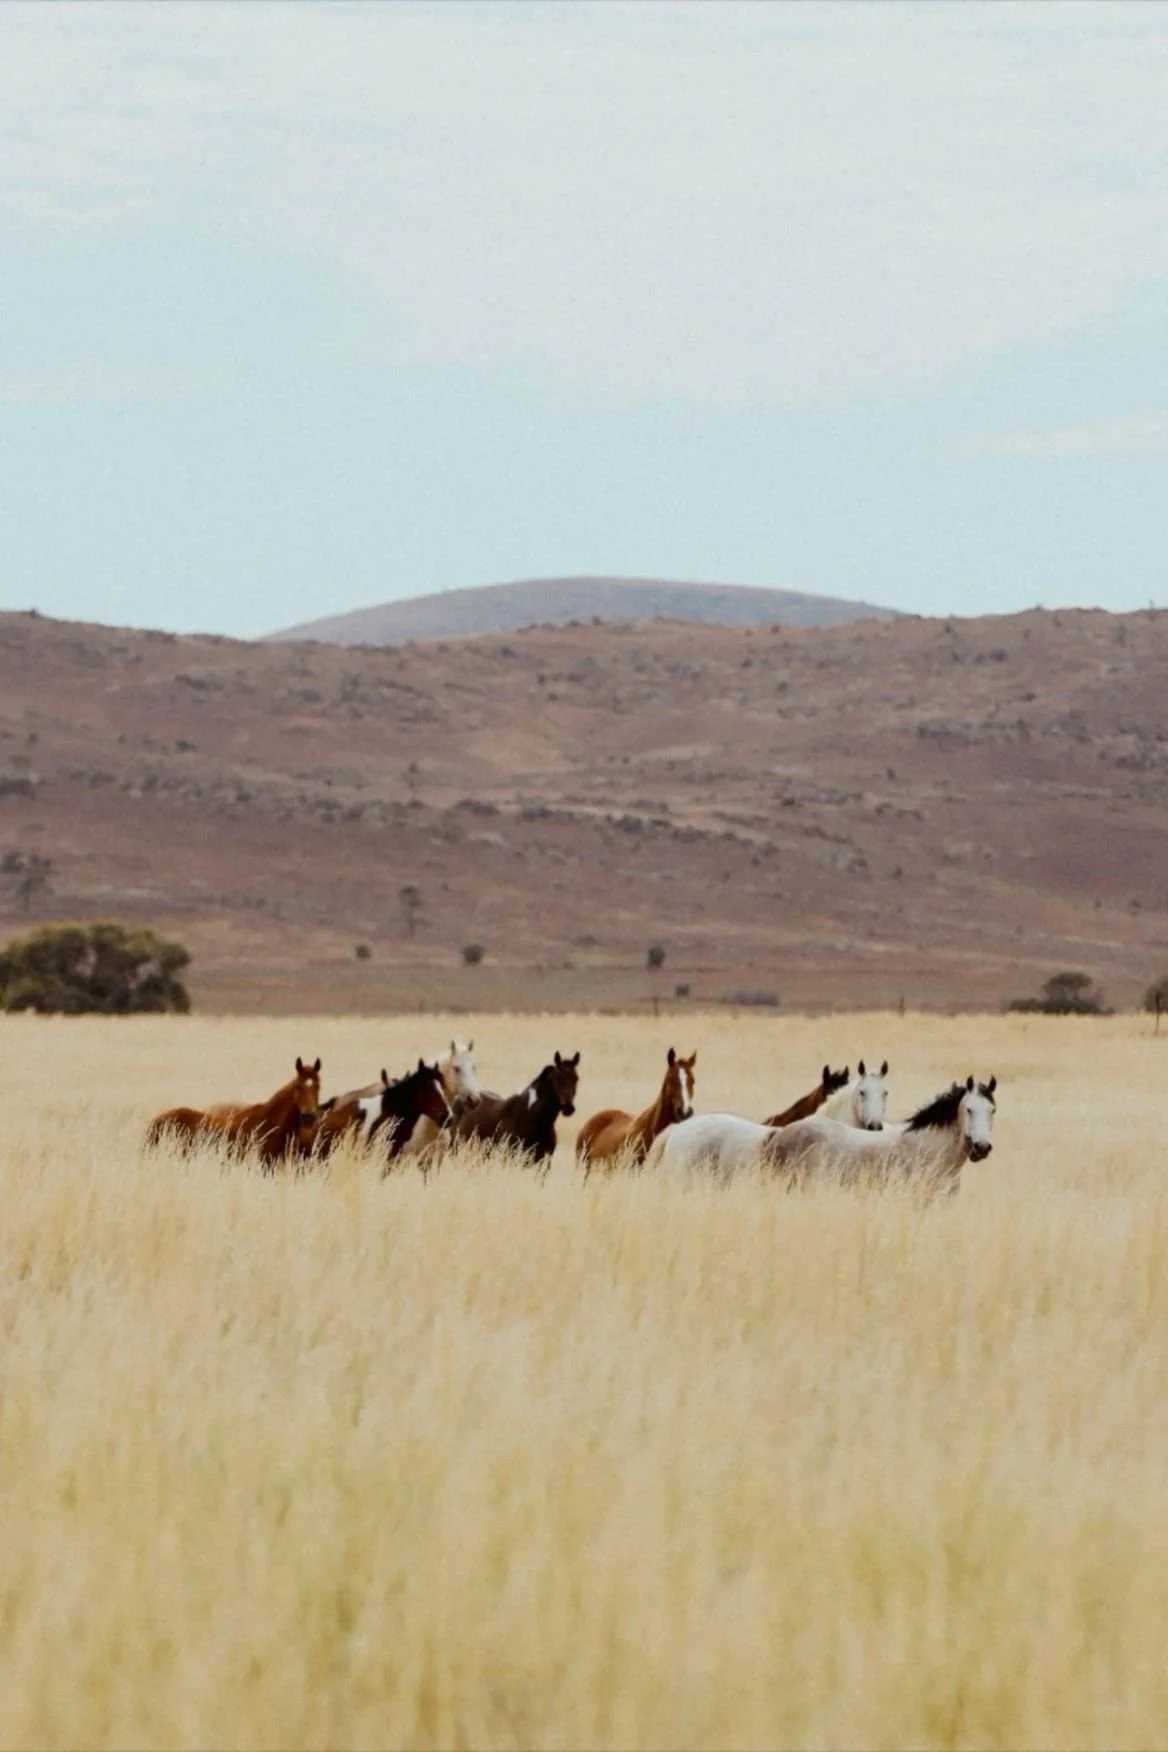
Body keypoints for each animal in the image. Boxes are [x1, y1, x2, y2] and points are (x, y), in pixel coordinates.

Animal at [448, 1050, 580, 1168]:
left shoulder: (543, 1163)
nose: (569, 1108)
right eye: (558, 1078)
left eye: (576, 1078)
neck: (533, 1118)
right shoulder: (511, 1158)